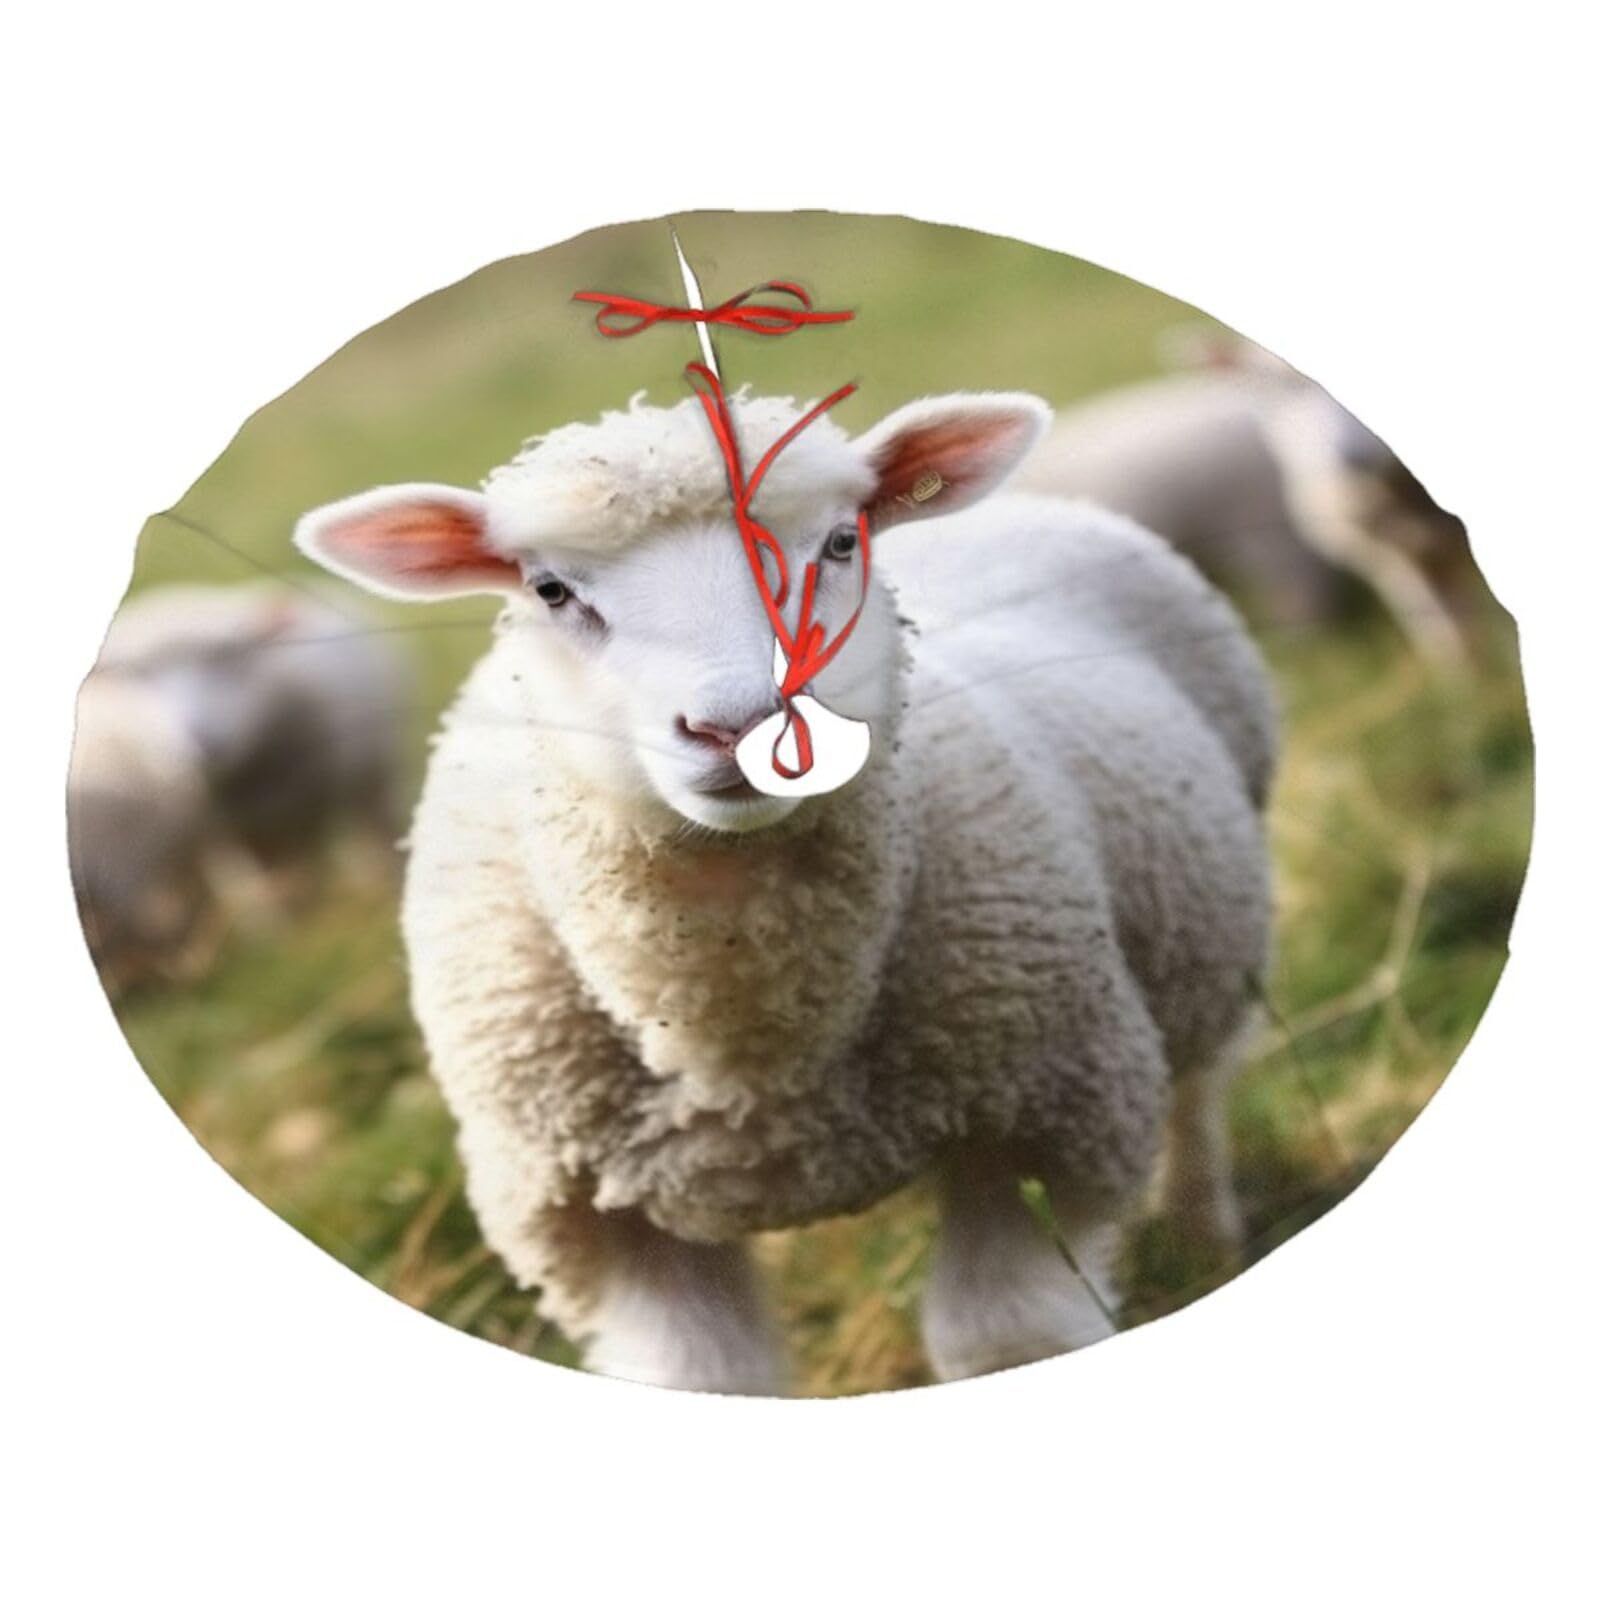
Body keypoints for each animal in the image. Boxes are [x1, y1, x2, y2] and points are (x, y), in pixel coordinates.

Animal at [295, 386, 1277, 1394]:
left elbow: (1005, 1338)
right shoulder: (593, 1217)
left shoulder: (1048, 1113)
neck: (750, 1062)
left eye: (842, 542)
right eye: (552, 591)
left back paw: (1201, 1230)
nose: (741, 726)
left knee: (1201, 1082)